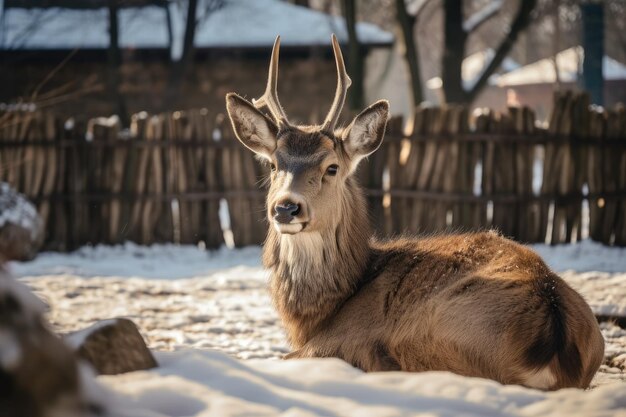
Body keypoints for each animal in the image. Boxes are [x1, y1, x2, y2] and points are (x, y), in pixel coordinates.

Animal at [223, 34, 600, 388]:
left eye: (331, 167)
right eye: (274, 164)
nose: (286, 207)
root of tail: (551, 338)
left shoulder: (337, 338)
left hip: (439, 330)